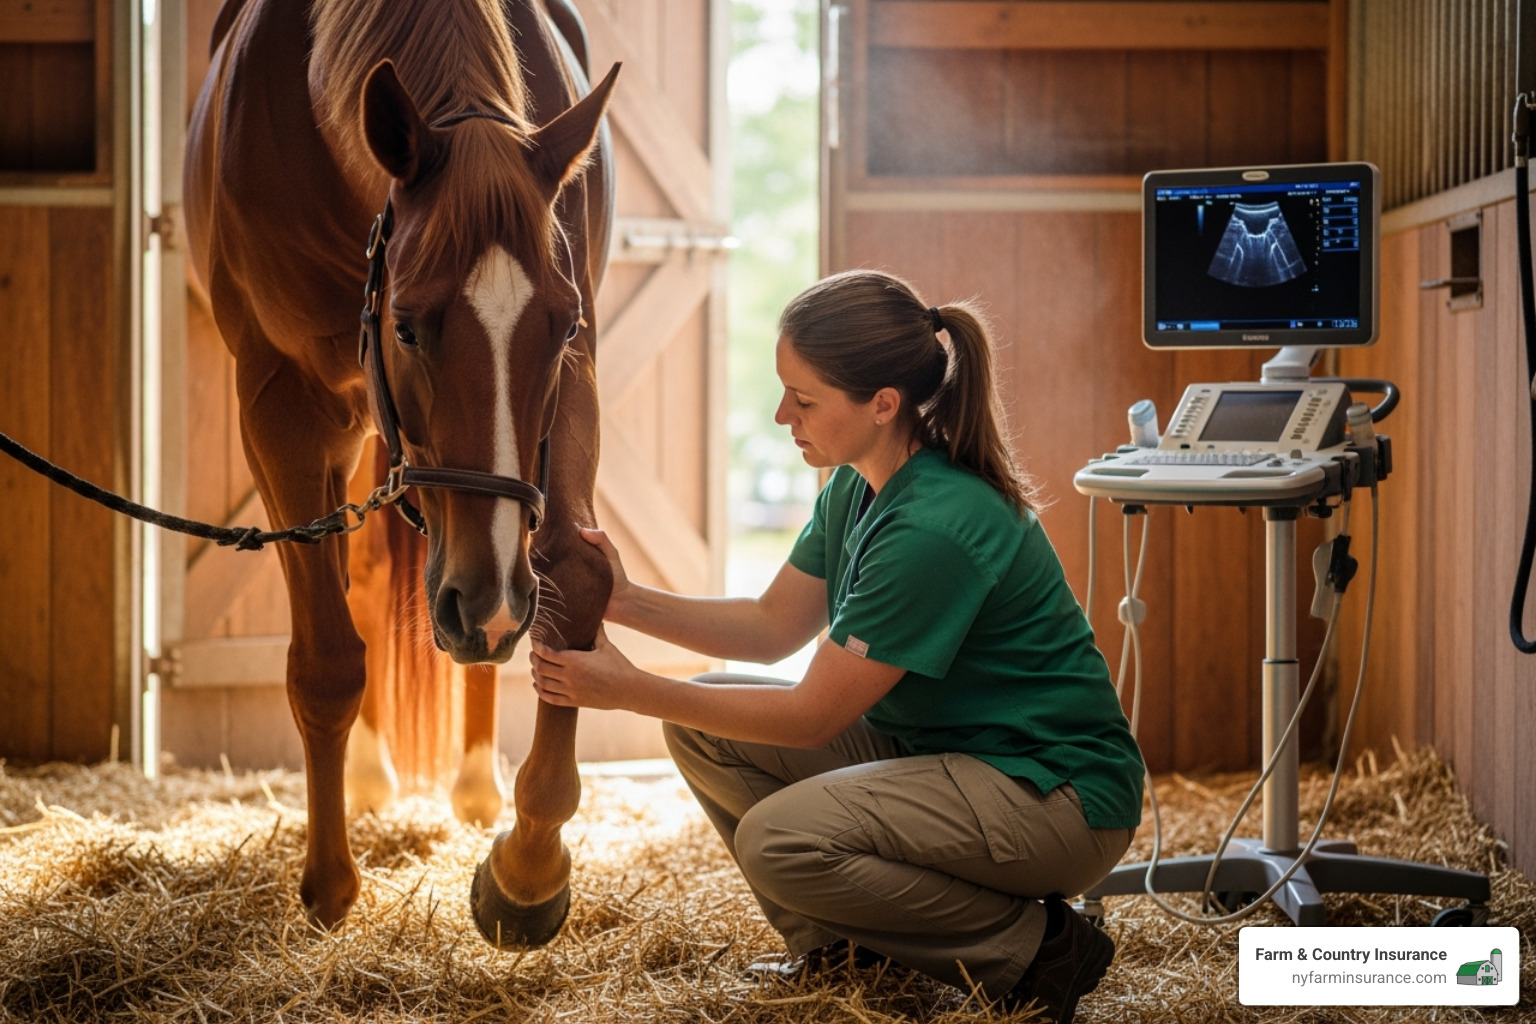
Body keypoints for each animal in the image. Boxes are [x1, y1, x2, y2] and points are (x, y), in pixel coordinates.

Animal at [184, 0, 617, 946]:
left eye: (562, 327)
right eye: (409, 326)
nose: (488, 604)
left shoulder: (579, 364)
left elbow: (576, 577)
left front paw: (527, 867)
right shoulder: (281, 396)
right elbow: (327, 658)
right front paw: (329, 885)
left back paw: (475, 785)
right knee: (371, 578)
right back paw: (371, 783)